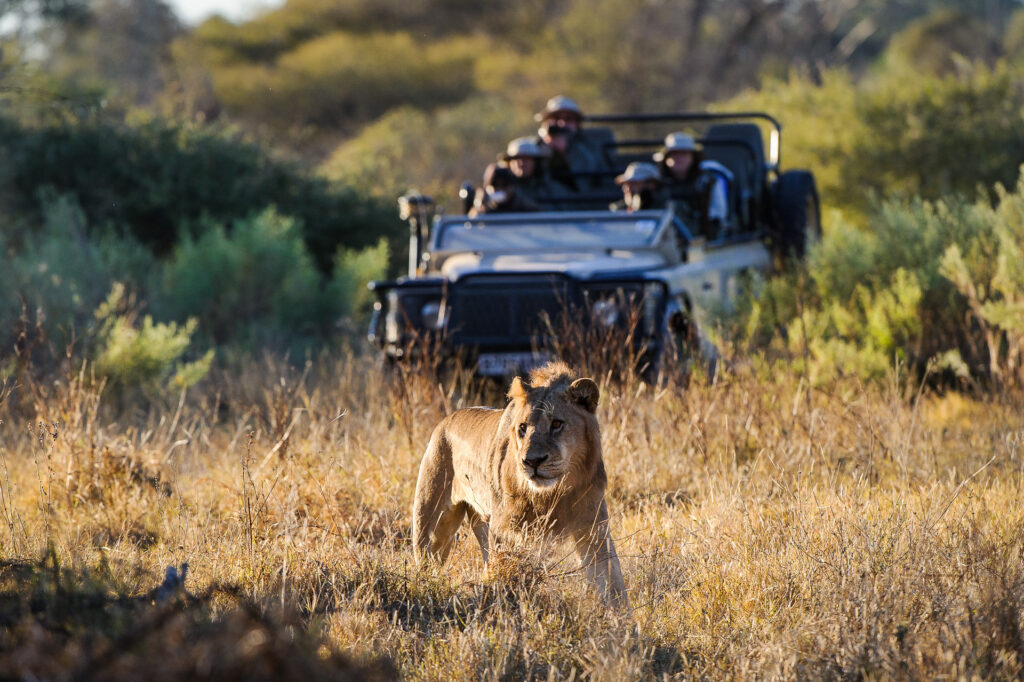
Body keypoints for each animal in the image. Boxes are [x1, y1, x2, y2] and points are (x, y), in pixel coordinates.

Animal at [412, 361, 629, 608]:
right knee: (428, 559)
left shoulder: (593, 529)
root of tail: (446, 419)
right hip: (433, 526)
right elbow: (504, 574)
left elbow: (612, 582)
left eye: (556, 424)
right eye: (523, 427)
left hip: (482, 524)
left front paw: (622, 618)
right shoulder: (505, 532)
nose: (532, 461)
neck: (553, 493)